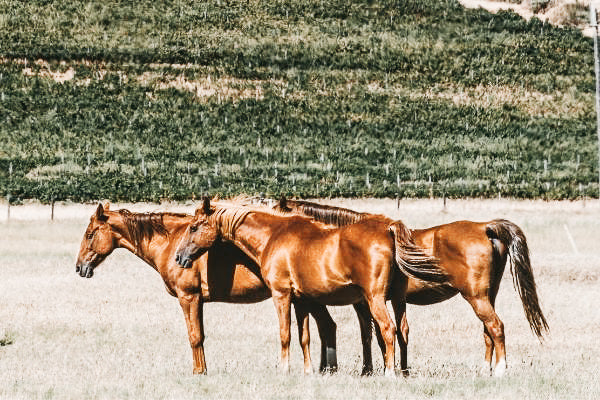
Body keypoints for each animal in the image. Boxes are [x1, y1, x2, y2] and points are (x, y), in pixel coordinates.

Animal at [74, 203, 342, 376]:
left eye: (90, 234)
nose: (79, 267)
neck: (171, 243)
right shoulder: (198, 301)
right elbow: (200, 334)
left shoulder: (188, 297)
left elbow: (195, 337)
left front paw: (199, 372)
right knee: (327, 326)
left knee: (326, 326)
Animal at [173, 198, 446, 376]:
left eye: (194, 227)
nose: (179, 257)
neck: (274, 235)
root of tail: (387, 228)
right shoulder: (301, 300)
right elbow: (304, 336)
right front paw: (307, 370)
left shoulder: (281, 295)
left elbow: (285, 334)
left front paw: (284, 369)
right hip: (397, 299)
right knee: (402, 331)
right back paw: (403, 372)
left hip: (375, 299)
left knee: (388, 330)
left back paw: (390, 373)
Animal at [276, 198, 548, 376]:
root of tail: (485, 227)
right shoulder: (390, 300)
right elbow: (398, 332)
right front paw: (401, 370)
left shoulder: (364, 302)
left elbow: (371, 335)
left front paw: (370, 370)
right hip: (488, 295)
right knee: (487, 332)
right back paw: (485, 370)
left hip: (476, 297)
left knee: (496, 327)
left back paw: (500, 370)